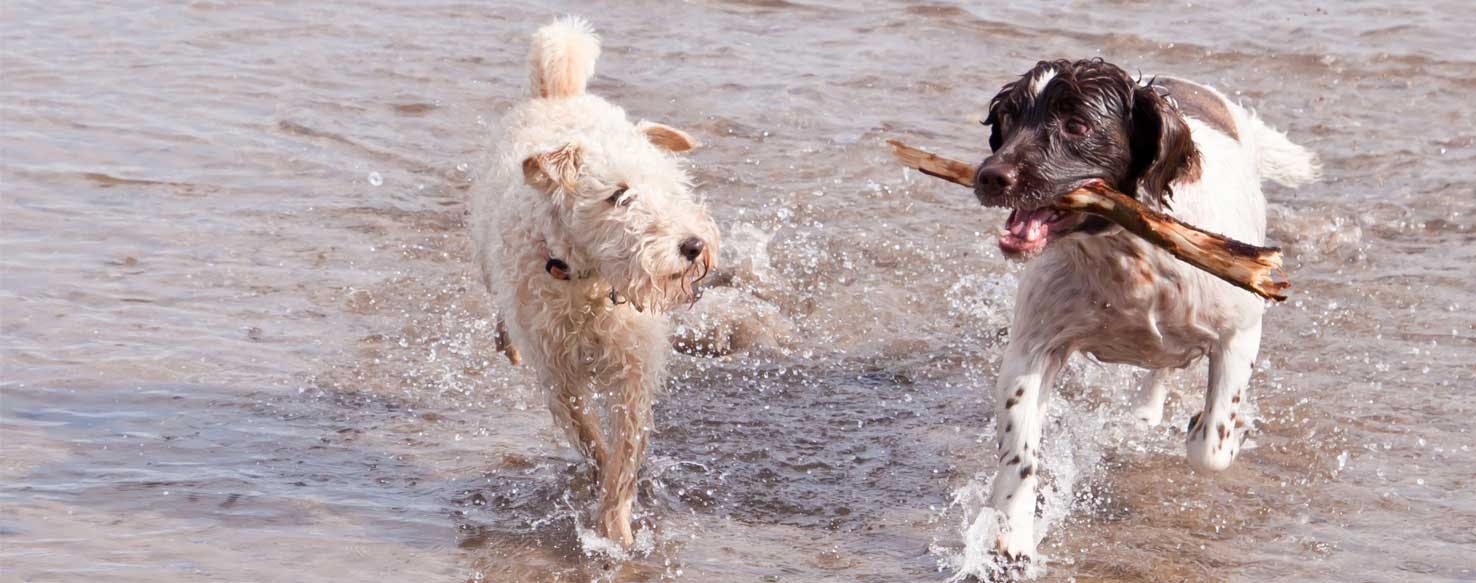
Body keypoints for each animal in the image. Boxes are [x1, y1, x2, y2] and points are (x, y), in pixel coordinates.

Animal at [472, 17, 720, 549]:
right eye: (618, 195)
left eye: (671, 185)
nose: (692, 246)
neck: (587, 284)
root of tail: (557, 95)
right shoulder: (557, 373)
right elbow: (589, 437)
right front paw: (601, 502)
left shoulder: (633, 369)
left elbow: (625, 452)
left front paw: (617, 528)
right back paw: (506, 341)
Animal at [974, 60, 1322, 560]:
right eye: (1007, 118)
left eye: (1076, 125)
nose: (990, 176)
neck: (1129, 253)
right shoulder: (1032, 347)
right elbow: (1019, 451)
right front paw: (1012, 531)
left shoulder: (1240, 336)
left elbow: (1212, 444)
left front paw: (1216, 428)